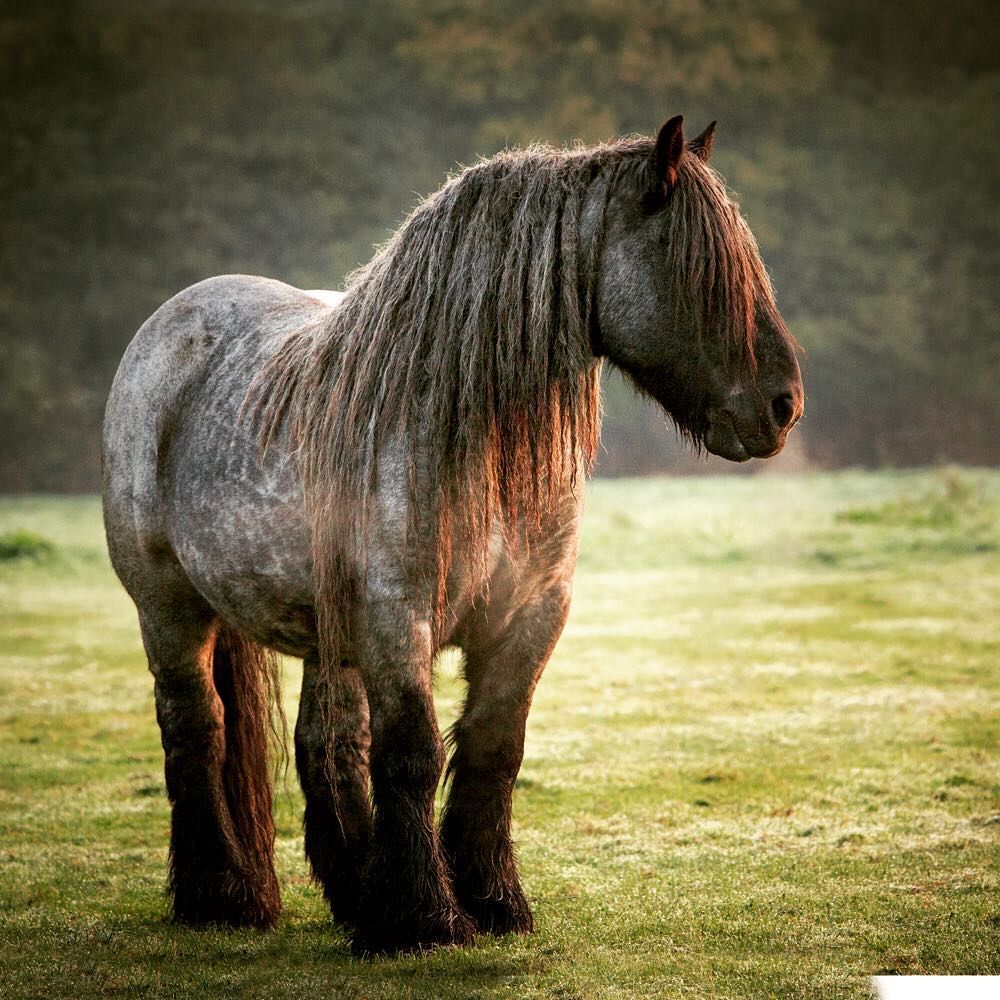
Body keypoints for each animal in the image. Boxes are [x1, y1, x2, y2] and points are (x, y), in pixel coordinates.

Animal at [101, 117, 804, 952]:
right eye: (697, 268)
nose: (784, 405)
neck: (472, 438)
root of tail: (172, 322)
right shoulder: (397, 616)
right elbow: (411, 751)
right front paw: (424, 919)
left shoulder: (530, 615)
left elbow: (494, 748)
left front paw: (493, 902)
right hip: (169, 609)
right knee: (196, 728)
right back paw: (222, 896)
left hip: (325, 633)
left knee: (327, 744)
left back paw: (354, 894)